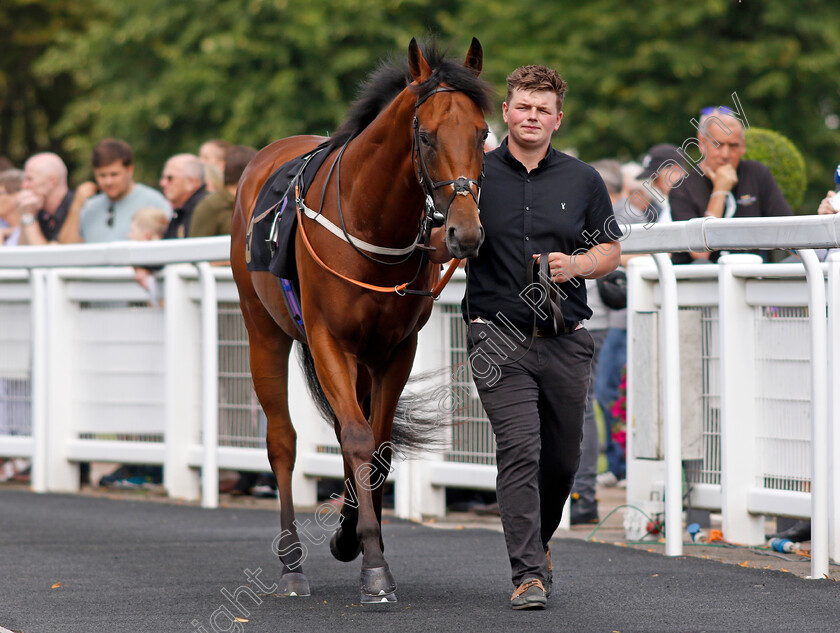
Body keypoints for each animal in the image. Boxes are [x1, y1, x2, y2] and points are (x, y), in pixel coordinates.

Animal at [230, 39, 492, 604]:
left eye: (483, 133)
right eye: (426, 135)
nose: (464, 233)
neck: (372, 225)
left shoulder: (394, 349)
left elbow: (379, 446)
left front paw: (354, 539)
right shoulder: (330, 339)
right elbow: (354, 437)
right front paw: (373, 565)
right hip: (264, 329)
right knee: (282, 441)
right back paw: (291, 564)